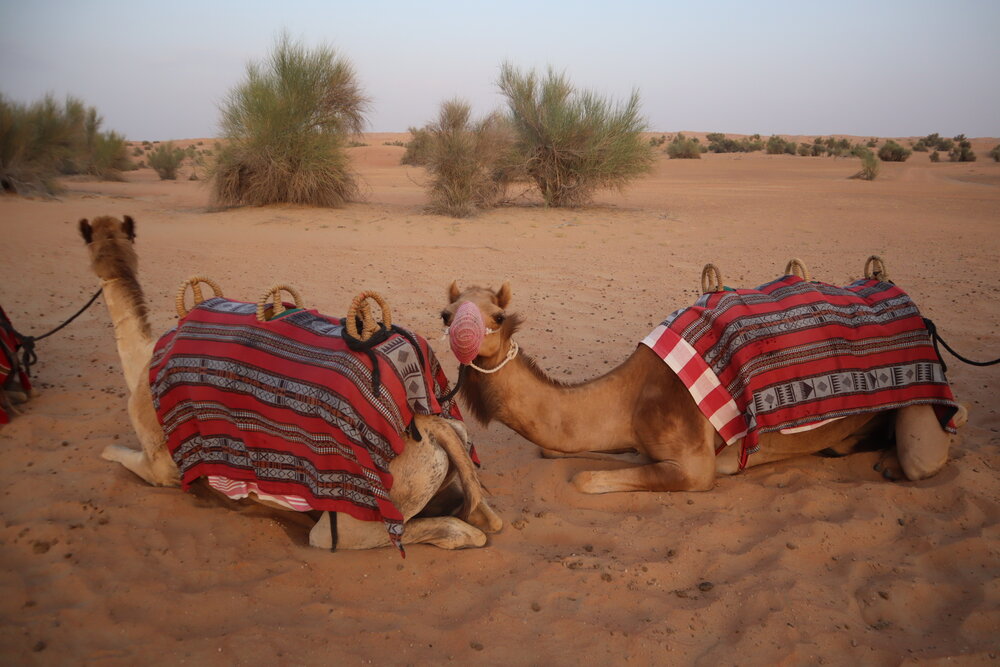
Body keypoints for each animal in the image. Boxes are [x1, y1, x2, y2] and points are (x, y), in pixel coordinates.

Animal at [77, 217, 500, 552]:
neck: (143, 360)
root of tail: (428, 423)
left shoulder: (162, 464)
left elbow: (115, 453)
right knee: (471, 513)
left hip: (368, 508)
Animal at [442, 282, 964, 496]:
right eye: (446, 314)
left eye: (497, 317)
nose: (462, 333)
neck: (629, 397)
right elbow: (560, 453)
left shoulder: (694, 465)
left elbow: (585, 479)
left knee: (925, 457)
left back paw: (890, 462)